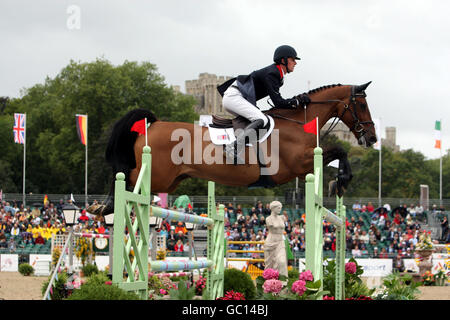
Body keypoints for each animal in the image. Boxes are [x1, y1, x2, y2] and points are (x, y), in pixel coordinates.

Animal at [87, 80, 376, 215]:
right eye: (362, 105)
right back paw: (103, 206)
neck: (296, 122)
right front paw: (340, 181)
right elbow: (338, 151)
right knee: (124, 176)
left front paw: (338, 183)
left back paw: (102, 207)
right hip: (156, 174)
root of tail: (153, 124)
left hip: (169, 180)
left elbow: (338, 152)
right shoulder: (297, 164)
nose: (371, 138)